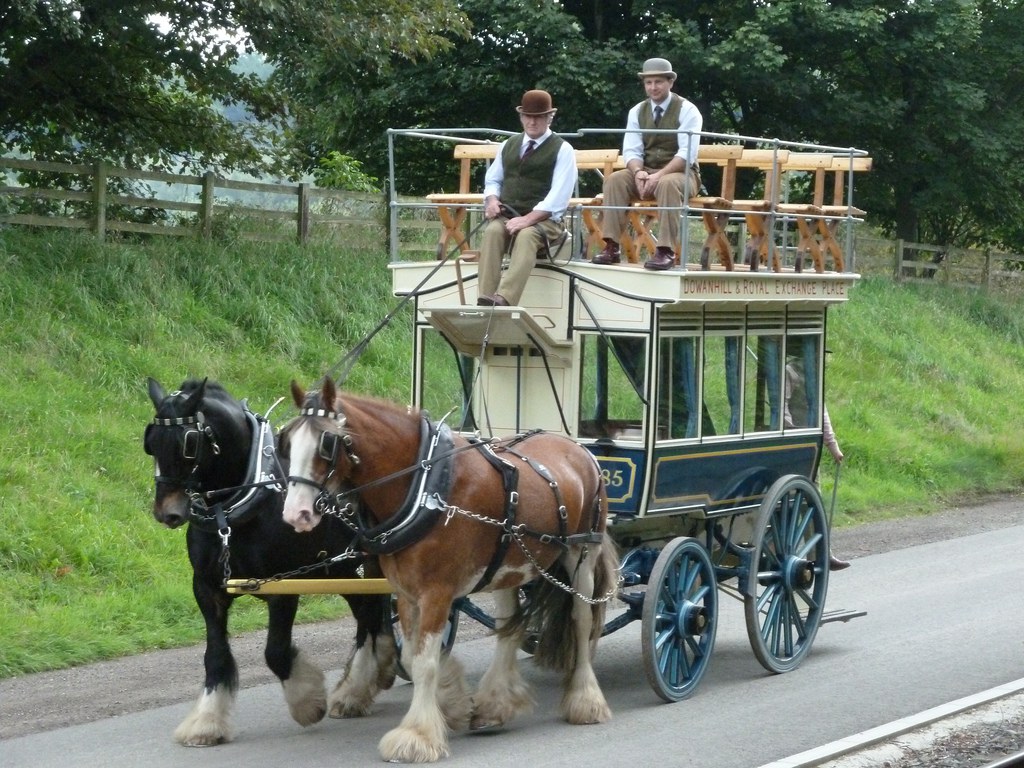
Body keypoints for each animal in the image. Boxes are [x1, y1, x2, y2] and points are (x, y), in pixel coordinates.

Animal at [144, 378, 395, 745]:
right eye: (150, 442)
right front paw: (207, 720)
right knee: (368, 615)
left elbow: (275, 651)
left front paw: (307, 702)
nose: (167, 512)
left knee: (373, 616)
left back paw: (356, 688)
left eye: (188, 443)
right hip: (343, 569)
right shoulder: (207, 588)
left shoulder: (282, 587)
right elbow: (215, 654)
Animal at [276, 378, 618, 765]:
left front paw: (418, 735)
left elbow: (425, 661)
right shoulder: (406, 593)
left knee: (582, 622)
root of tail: (577, 448)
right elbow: (412, 655)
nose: (296, 513)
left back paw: (585, 700)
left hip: (582, 554)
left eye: (327, 442)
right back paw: (495, 704)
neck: (426, 487)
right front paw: (450, 704)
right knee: (509, 629)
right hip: (507, 562)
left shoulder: (436, 592)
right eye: (287, 440)